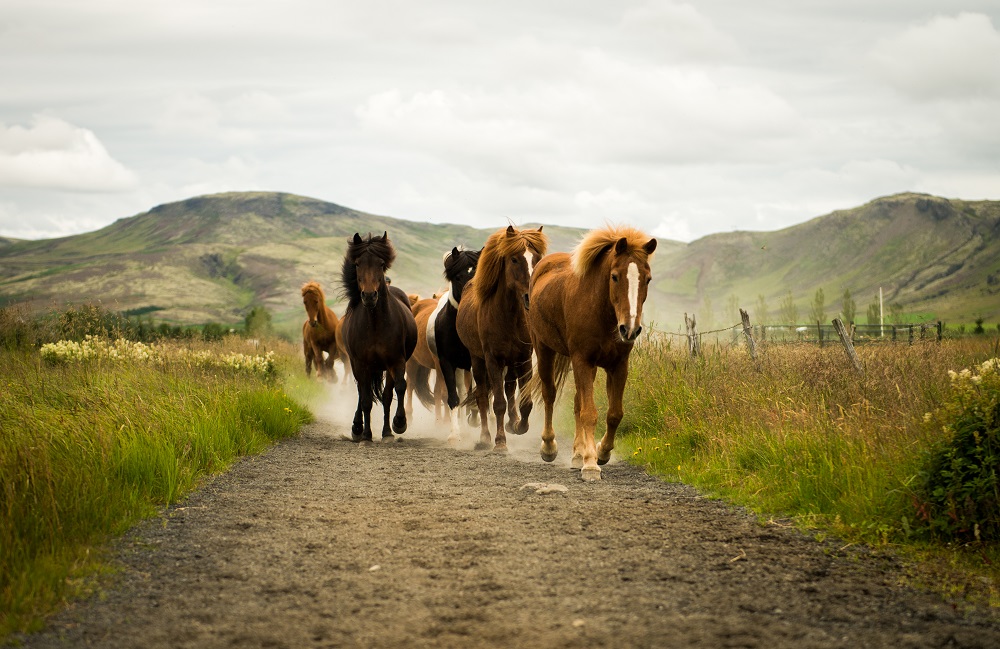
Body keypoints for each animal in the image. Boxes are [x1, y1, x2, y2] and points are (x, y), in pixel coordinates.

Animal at [336, 232, 414, 440]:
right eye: (357, 264)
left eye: (381, 263)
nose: (369, 296)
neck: (375, 324)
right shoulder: (361, 364)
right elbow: (365, 399)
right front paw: (366, 434)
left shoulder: (396, 361)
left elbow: (399, 388)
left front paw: (399, 423)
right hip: (358, 366)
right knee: (361, 392)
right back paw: (357, 427)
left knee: (386, 395)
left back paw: (386, 431)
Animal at [458, 225, 552, 454]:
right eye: (515, 259)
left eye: (537, 258)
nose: (529, 297)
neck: (508, 316)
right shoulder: (493, 360)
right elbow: (497, 403)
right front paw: (500, 441)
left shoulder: (524, 359)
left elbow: (525, 402)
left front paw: (518, 426)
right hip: (478, 361)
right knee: (483, 397)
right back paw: (484, 437)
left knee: (509, 388)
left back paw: (512, 422)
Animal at [528, 225, 660, 478]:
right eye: (615, 276)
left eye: (647, 279)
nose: (630, 329)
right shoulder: (582, 360)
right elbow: (589, 413)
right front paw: (590, 464)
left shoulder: (618, 365)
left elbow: (614, 413)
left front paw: (601, 452)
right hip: (544, 349)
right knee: (550, 394)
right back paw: (549, 447)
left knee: (577, 403)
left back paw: (577, 454)